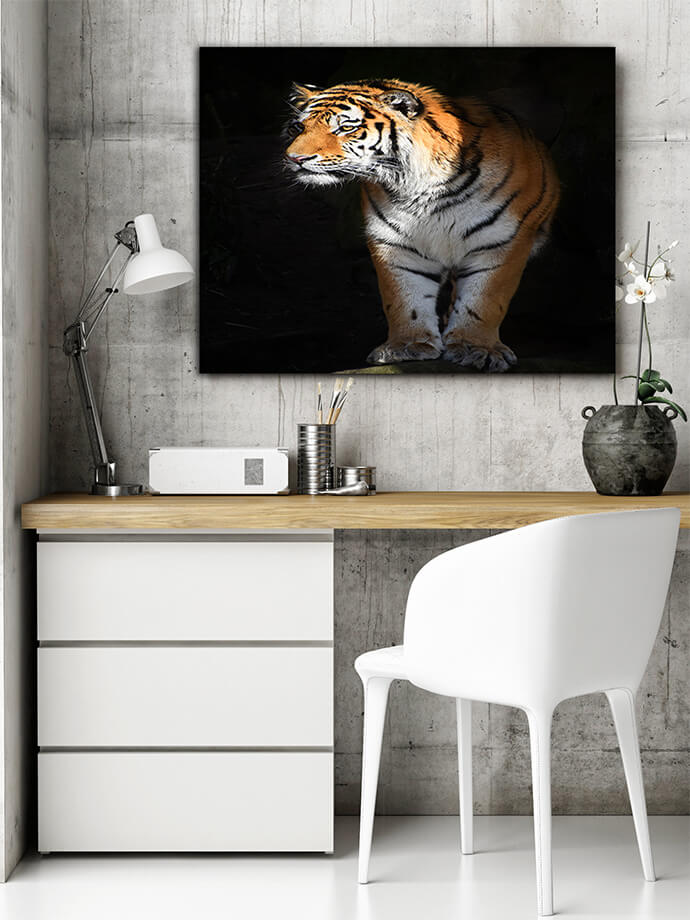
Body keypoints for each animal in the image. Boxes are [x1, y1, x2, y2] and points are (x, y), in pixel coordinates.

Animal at [284, 78, 560, 372]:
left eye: (346, 127)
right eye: (297, 127)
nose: (294, 158)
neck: (418, 185)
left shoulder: (501, 240)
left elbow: (484, 300)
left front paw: (476, 348)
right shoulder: (395, 243)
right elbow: (404, 298)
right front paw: (407, 346)